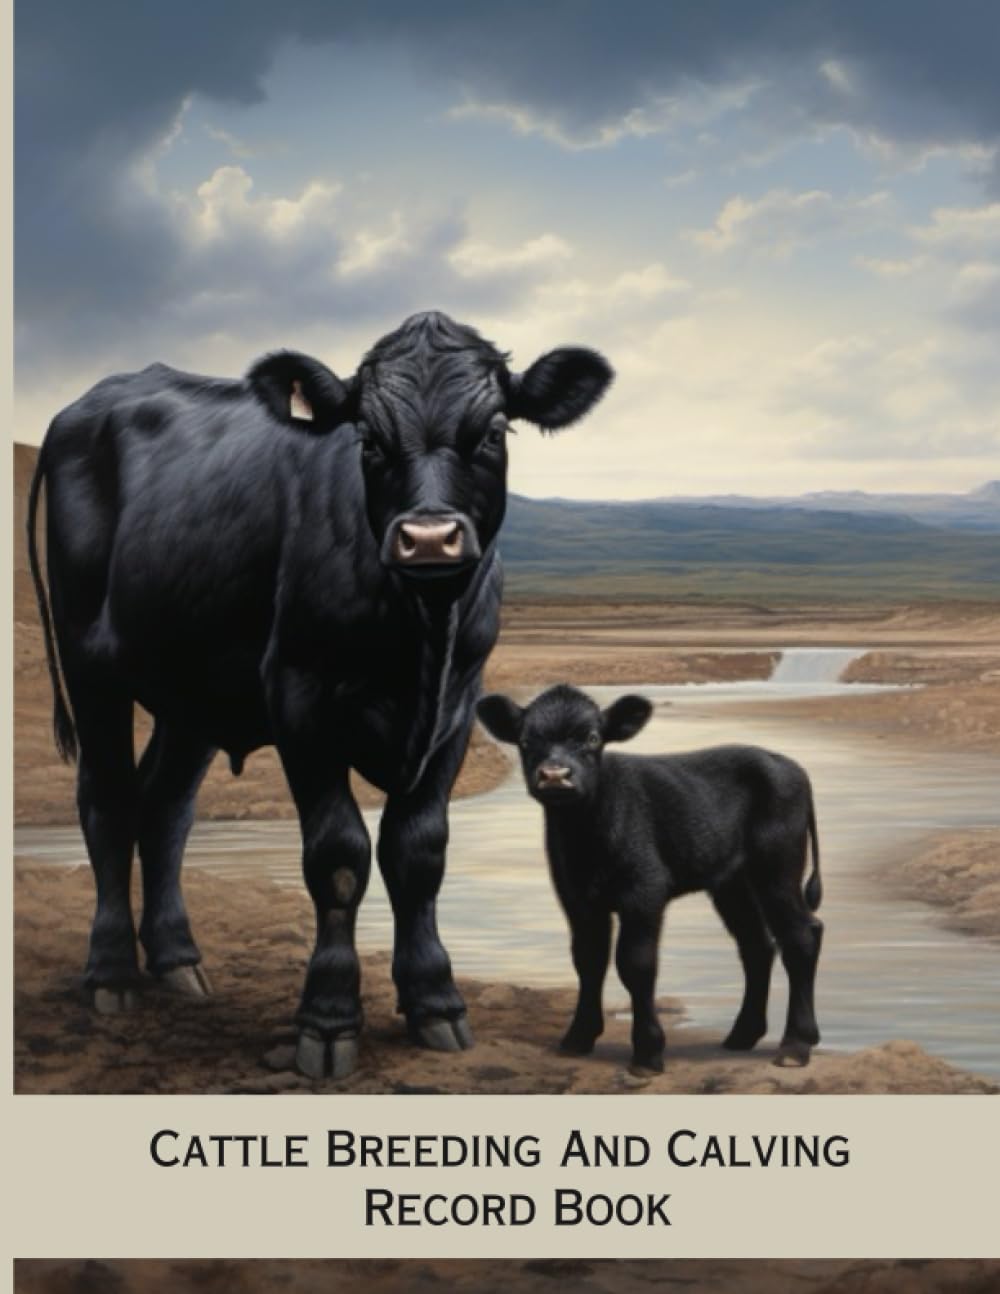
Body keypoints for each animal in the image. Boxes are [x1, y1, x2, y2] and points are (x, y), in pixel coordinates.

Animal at [27, 311, 613, 1079]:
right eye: (368, 439)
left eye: (492, 432)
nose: (429, 538)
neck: (420, 634)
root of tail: (80, 408)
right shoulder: (301, 700)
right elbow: (338, 857)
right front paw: (329, 1020)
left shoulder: (459, 708)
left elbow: (419, 851)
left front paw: (435, 1002)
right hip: (91, 663)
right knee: (108, 803)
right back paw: (113, 973)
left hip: (195, 689)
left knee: (166, 807)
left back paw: (179, 962)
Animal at [476, 684, 824, 1074]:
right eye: (525, 740)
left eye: (592, 738)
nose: (554, 775)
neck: (585, 840)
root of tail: (786, 763)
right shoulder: (576, 897)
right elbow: (588, 959)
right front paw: (578, 1039)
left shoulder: (643, 892)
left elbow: (635, 963)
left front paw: (647, 1052)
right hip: (731, 883)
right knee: (757, 945)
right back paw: (742, 1035)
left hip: (778, 868)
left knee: (800, 936)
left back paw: (795, 1044)